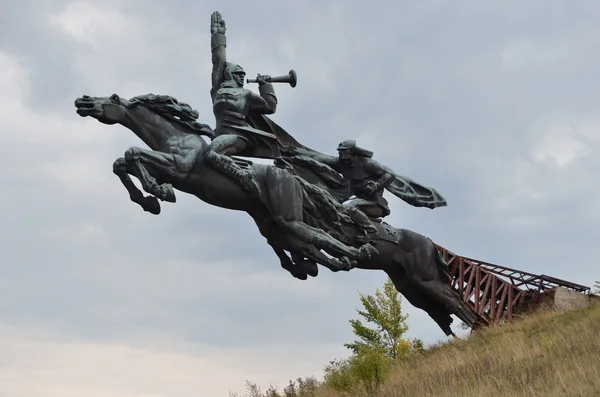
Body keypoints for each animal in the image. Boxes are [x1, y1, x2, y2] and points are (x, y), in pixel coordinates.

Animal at [74, 92, 478, 334]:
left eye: (110, 98)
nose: (83, 101)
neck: (176, 137)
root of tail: (429, 243)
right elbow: (123, 161)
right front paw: (148, 198)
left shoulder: (180, 167)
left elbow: (132, 155)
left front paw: (156, 195)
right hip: (406, 284)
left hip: (414, 276)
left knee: (457, 303)